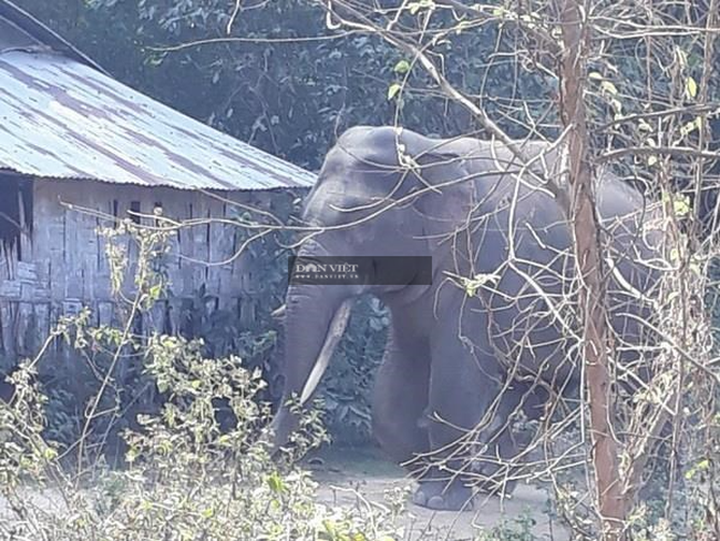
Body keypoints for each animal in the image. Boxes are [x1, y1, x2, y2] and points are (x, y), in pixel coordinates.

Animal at [269, 125, 662, 511]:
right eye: (303, 218)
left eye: (359, 225)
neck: (429, 150)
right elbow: (395, 385)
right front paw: (439, 478)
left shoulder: (480, 268)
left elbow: (455, 377)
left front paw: (438, 499)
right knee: (530, 389)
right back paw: (492, 481)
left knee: (643, 394)